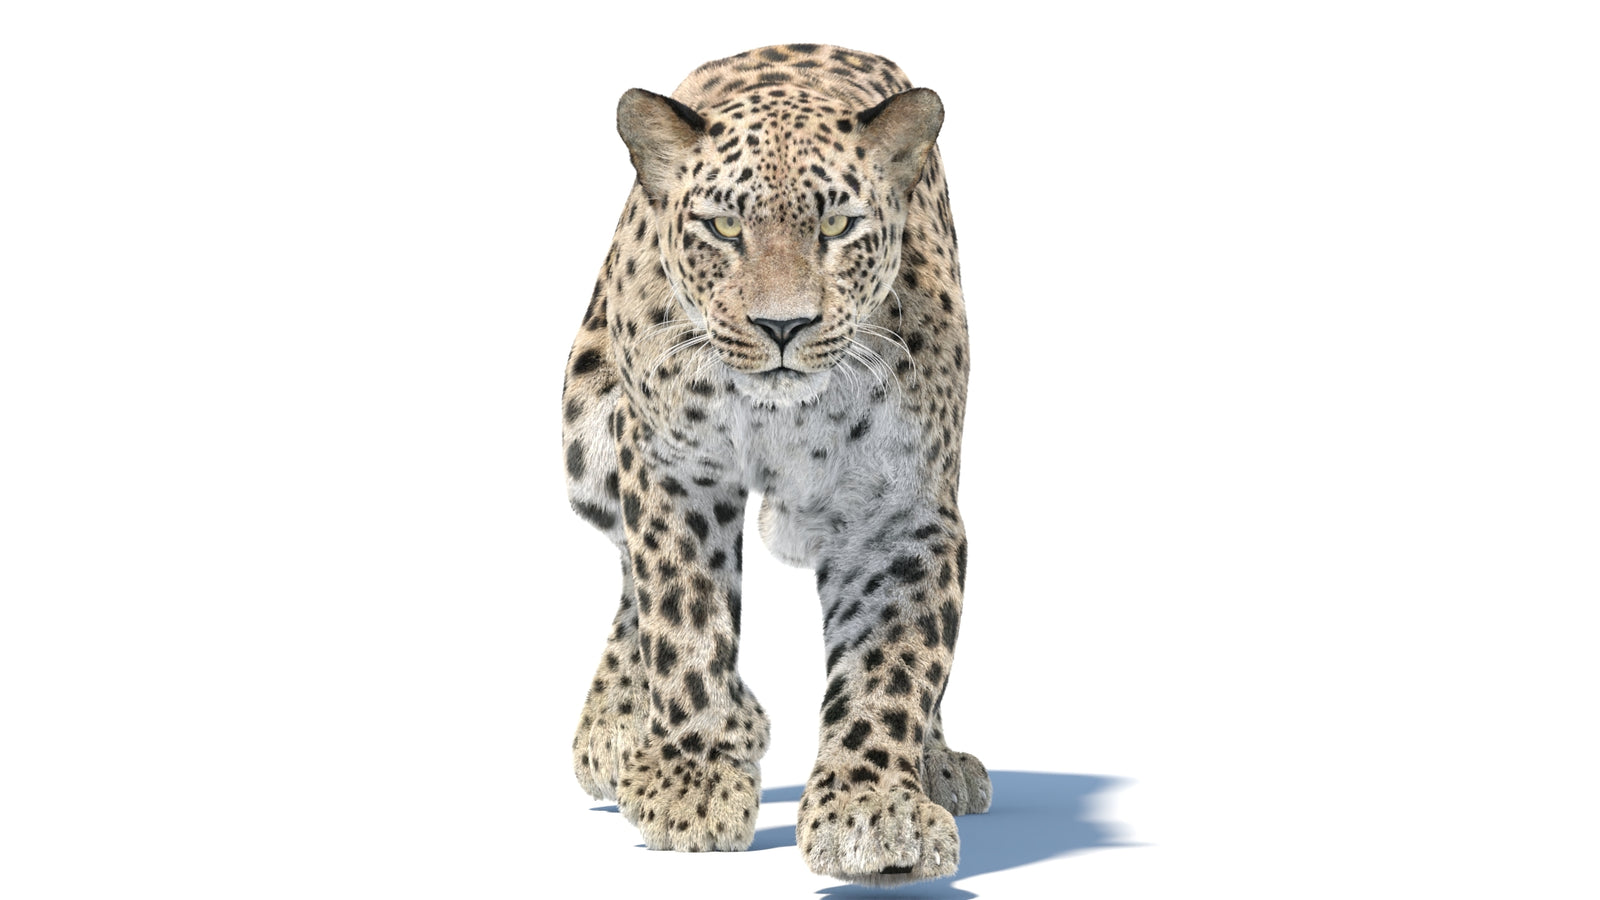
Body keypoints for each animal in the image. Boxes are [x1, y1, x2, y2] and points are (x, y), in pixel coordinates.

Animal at [561, 44, 989, 886]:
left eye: (838, 225)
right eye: (725, 226)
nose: (783, 325)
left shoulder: (903, 514)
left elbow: (895, 664)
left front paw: (874, 807)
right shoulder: (674, 467)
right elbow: (681, 616)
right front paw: (691, 777)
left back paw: (940, 762)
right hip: (588, 435)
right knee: (627, 562)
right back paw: (623, 726)